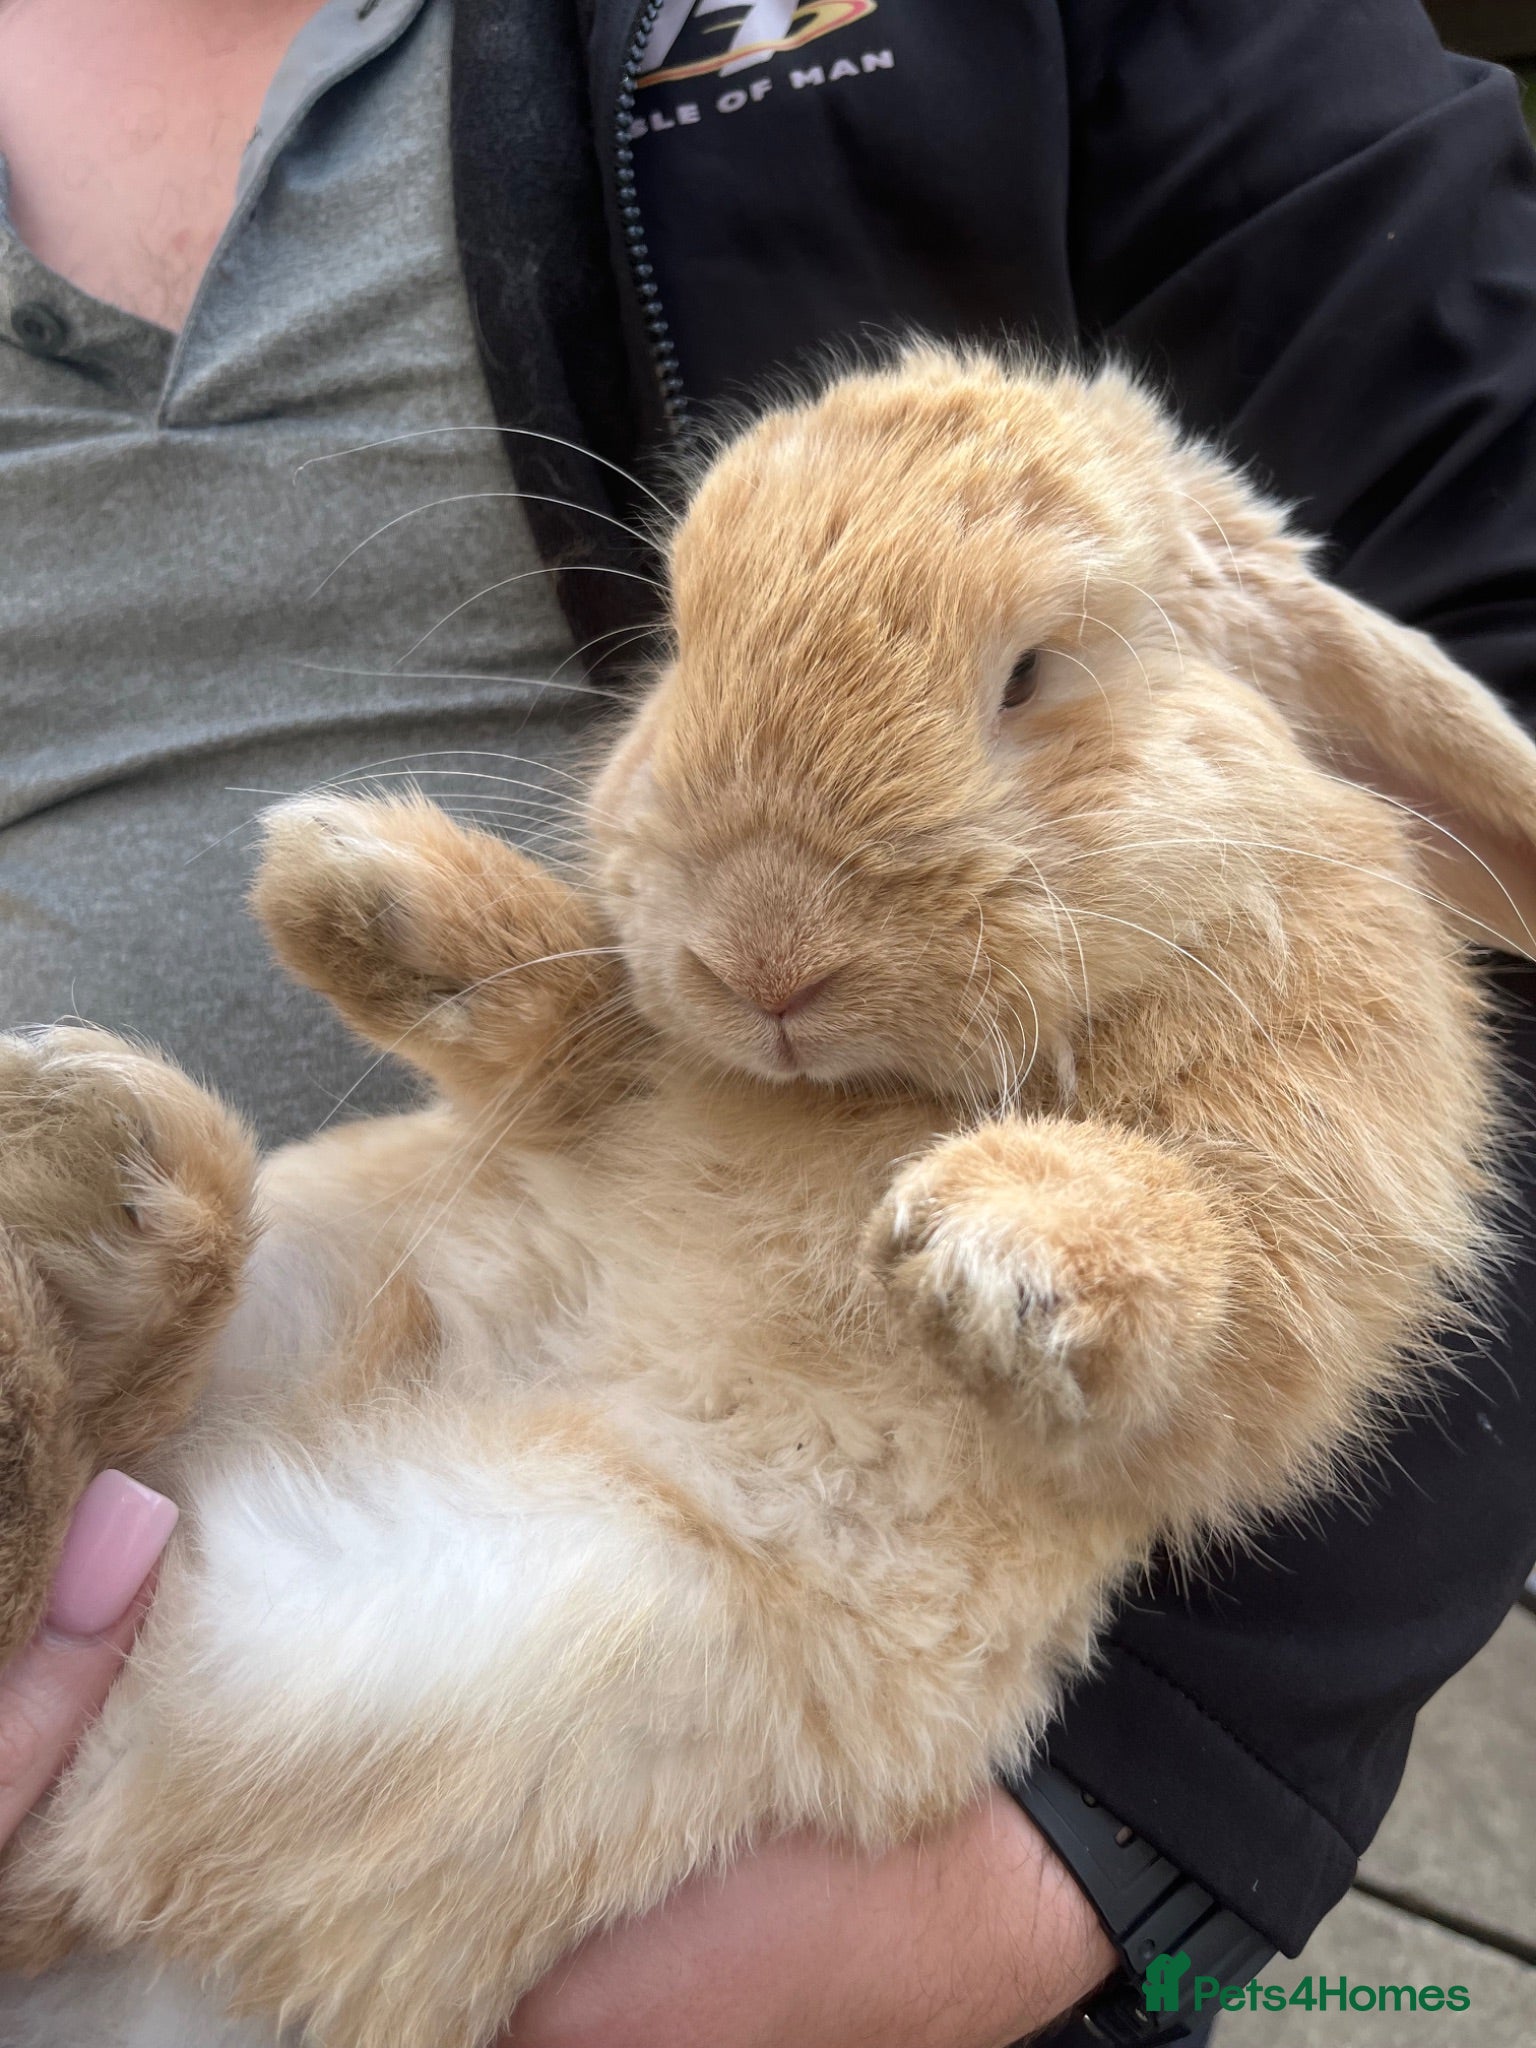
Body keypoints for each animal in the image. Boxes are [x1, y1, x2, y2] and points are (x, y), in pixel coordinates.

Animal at [3, 346, 1535, 2048]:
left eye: (1035, 672)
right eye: (682, 636)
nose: (763, 952)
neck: (860, 1094)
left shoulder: (1309, 1209)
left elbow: (1217, 1272)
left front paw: (990, 1237)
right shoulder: (608, 1077)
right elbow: (574, 1025)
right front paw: (345, 885)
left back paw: (105, 1168)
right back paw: (97, 1149)